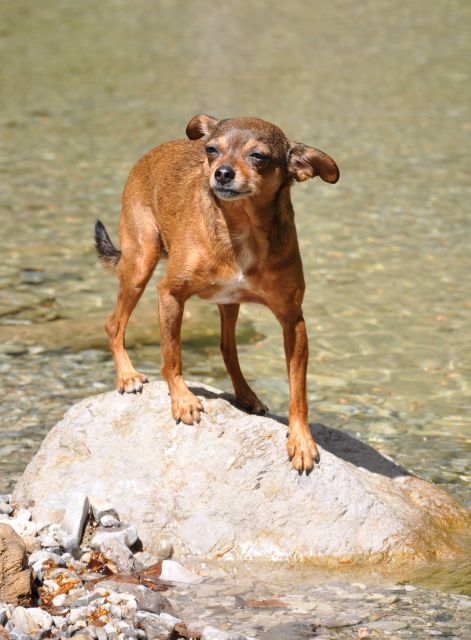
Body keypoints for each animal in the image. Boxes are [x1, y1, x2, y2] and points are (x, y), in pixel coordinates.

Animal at [95, 115, 340, 472]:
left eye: (258, 156)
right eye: (211, 150)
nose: (222, 172)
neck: (241, 228)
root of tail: (155, 150)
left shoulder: (292, 320)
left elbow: (298, 391)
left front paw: (301, 440)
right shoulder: (170, 294)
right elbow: (172, 356)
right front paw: (182, 400)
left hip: (228, 304)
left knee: (227, 349)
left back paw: (246, 395)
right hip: (140, 264)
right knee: (114, 324)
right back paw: (127, 375)